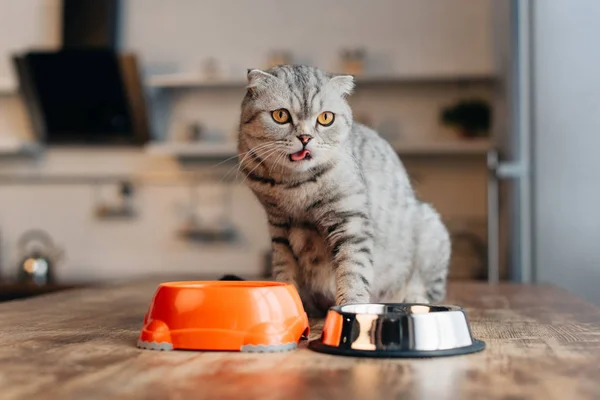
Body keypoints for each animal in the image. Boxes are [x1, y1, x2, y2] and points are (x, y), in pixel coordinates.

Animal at [237, 65, 448, 316]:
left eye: (325, 118)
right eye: (281, 115)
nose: (305, 137)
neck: (295, 185)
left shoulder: (351, 220)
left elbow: (353, 270)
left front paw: (352, 306)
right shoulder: (279, 227)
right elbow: (284, 271)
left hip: (431, 231)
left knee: (428, 291)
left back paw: (413, 300)